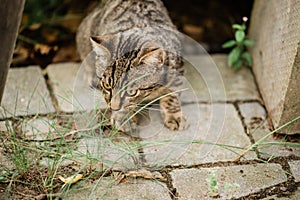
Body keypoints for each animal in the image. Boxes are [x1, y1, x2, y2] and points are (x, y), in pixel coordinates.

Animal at [76, 0, 188, 134]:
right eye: (107, 86)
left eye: (131, 92)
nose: (113, 107)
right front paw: (123, 118)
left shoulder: (177, 70)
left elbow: (172, 95)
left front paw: (174, 115)